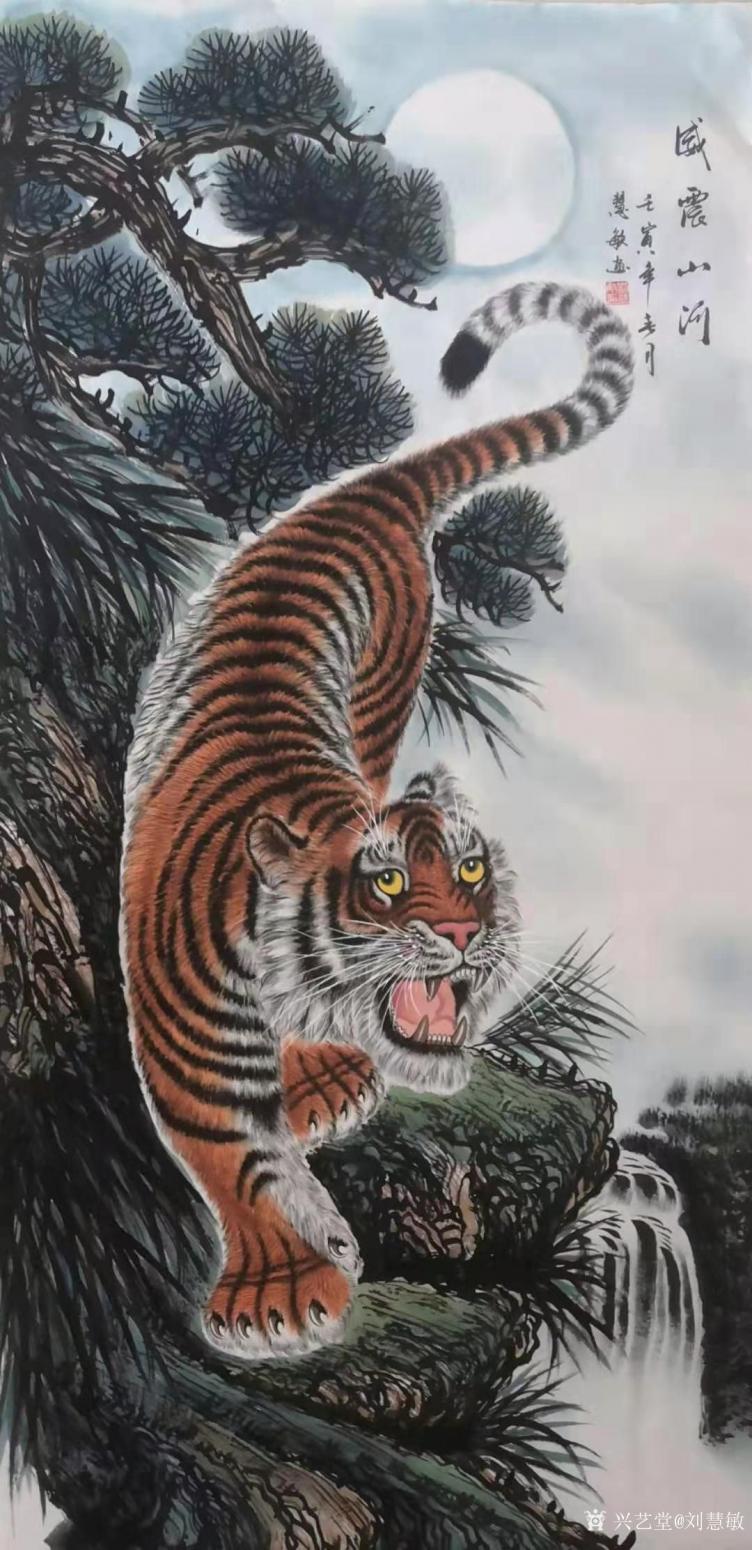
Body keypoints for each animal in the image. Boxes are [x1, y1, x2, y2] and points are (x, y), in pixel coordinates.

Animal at [120, 281, 633, 1360]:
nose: (466, 936)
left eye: (472, 870)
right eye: (389, 880)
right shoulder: (183, 1034)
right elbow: (228, 1152)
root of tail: (362, 492)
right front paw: (278, 1287)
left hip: (383, 687)